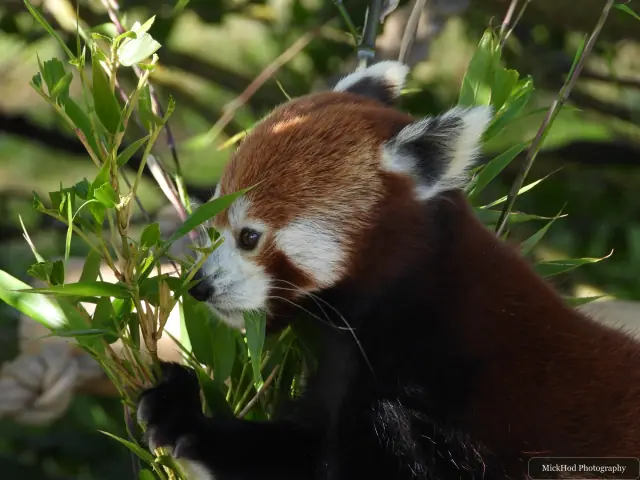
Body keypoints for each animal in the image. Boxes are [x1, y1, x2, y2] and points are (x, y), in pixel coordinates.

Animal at [137, 61, 640, 479]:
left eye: (248, 237)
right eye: (215, 226)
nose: (200, 287)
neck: (406, 293)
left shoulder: (438, 395)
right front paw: (182, 415)